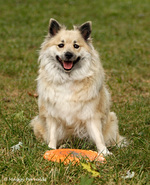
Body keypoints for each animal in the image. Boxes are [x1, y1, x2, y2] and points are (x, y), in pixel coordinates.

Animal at [30, 18, 125, 155]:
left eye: (76, 46)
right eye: (61, 45)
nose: (68, 54)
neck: (68, 79)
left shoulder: (92, 115)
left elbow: (98, 136)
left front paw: (104, 152)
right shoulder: (52, 115)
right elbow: (52, 134)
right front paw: (51, 148)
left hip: (111, 120)